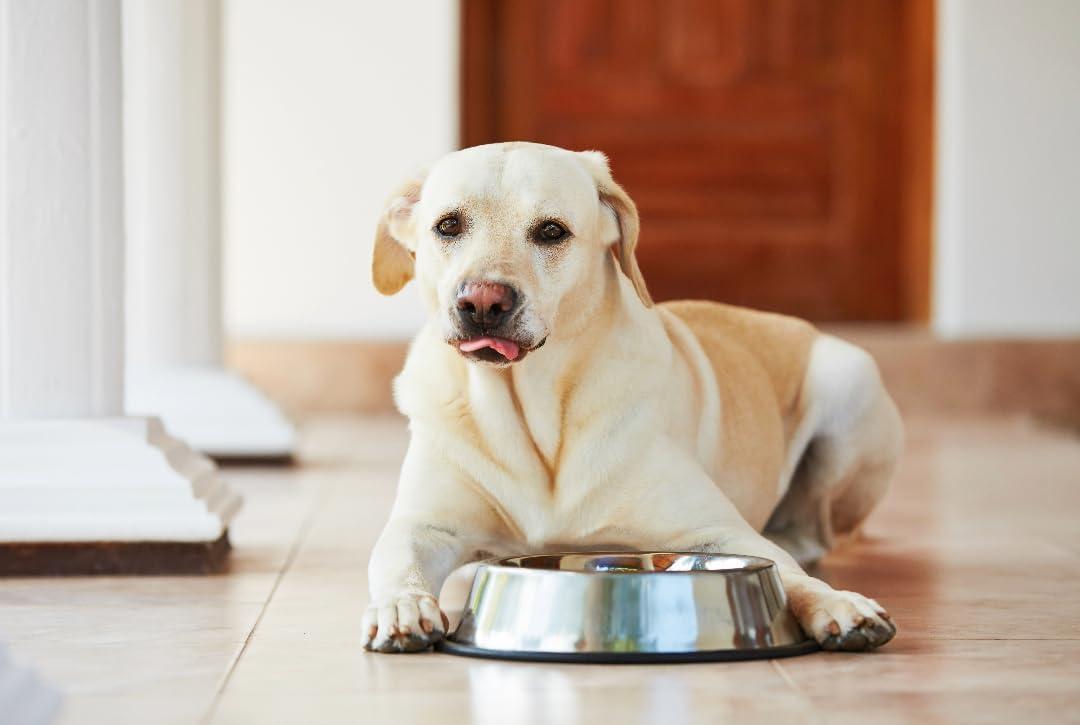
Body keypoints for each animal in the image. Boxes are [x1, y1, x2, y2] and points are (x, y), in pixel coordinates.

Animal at [362, 144, 902, 656]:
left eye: (551, 232)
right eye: (448, 225)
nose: (482, 302)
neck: (533, 412)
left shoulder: (721, 530)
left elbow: (785, 572)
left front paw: (836, 603)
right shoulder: (424, 527)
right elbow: (395, 561)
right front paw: (400, 606)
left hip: (849, 382)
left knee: (813, 535)